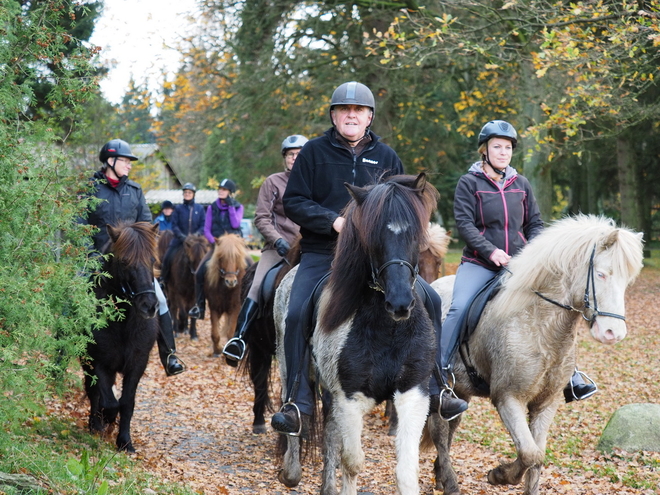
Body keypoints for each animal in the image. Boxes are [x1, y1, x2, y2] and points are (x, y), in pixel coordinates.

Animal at [276, 173, 440, 492]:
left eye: (415, 235)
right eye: (373, 238)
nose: (400, 303)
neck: (389, 331)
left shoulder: (413, 393)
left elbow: (406, 470)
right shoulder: (350, 399)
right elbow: (352, 462)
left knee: (329, 433)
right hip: (290, 367)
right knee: (295, 409)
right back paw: (291, 471)